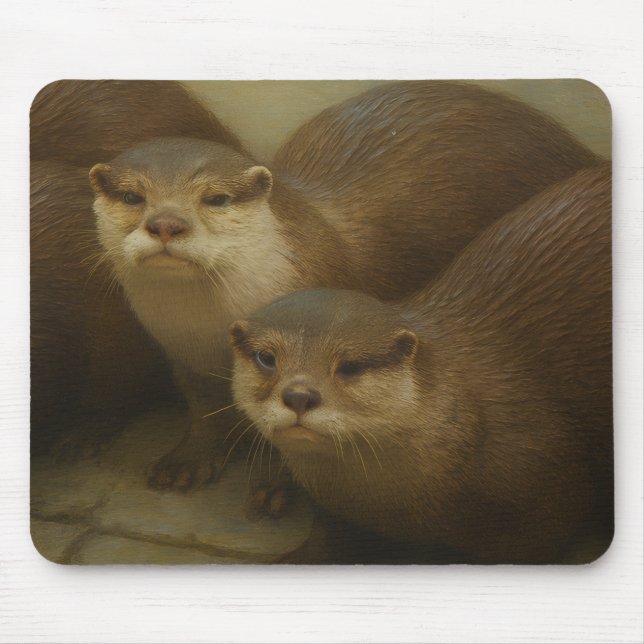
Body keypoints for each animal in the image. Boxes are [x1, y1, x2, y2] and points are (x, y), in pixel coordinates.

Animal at [90, 81, 600, 491]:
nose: (166, 224)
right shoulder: (182, 358)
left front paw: (284, 486)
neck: (208, 331)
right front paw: (188, 461)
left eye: (215, 198)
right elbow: (201, 412)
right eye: (133, 196)